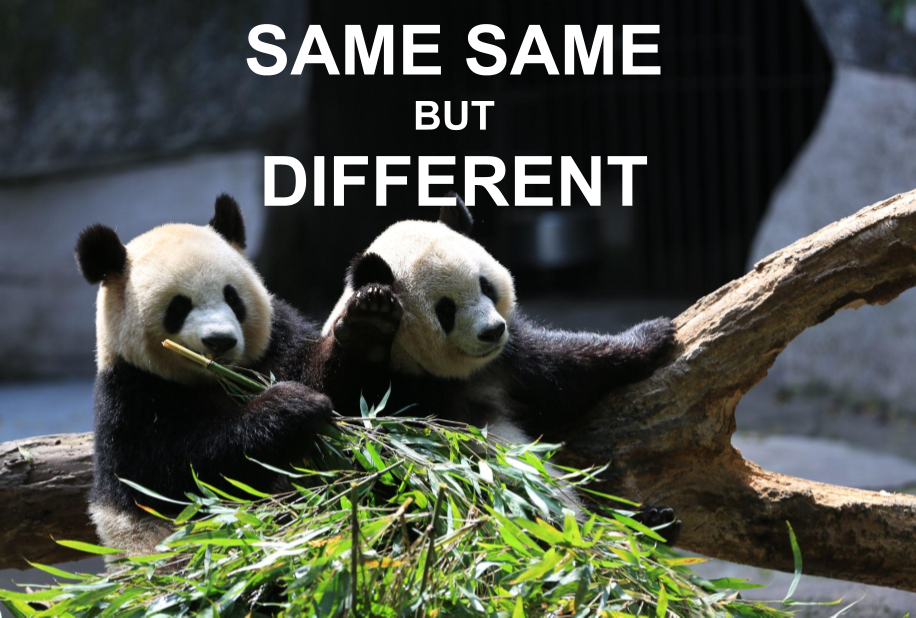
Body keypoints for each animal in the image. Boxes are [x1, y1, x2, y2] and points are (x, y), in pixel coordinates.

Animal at [76, 195, 335, 556]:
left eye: (232, 296)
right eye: (178, 307)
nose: (220, 340)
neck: (216, 378)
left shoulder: (277, 342)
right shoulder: (129, 400)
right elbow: (187, 472)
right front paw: (291, 406)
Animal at [321, 196, 680, 540]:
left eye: (486, 286)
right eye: (446, 310)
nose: (492, 331)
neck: (445, 373)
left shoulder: (508, 361)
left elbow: (567, 372)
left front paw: (652, 334)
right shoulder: (389, 392)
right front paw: (368, 325)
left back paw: (652, 521)